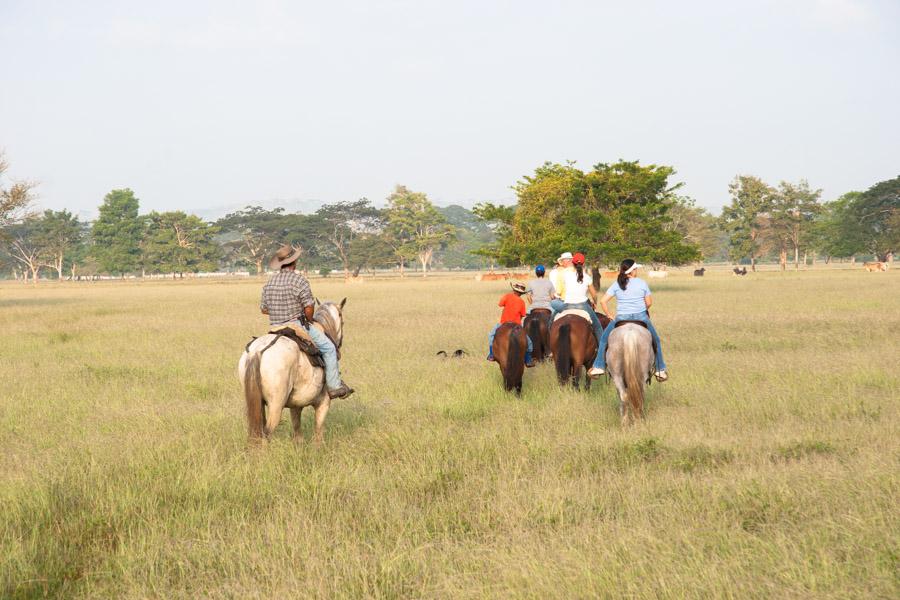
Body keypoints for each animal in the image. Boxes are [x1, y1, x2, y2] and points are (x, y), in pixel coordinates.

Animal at [237, 298, 346, 440]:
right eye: (342, 319)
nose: (340, 343)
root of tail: (257, 350)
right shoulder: (324, 403)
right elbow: (318, 433)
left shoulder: (295, 405)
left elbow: (297, 431)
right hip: (276, 405)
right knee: (266, 433)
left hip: (257, 403)